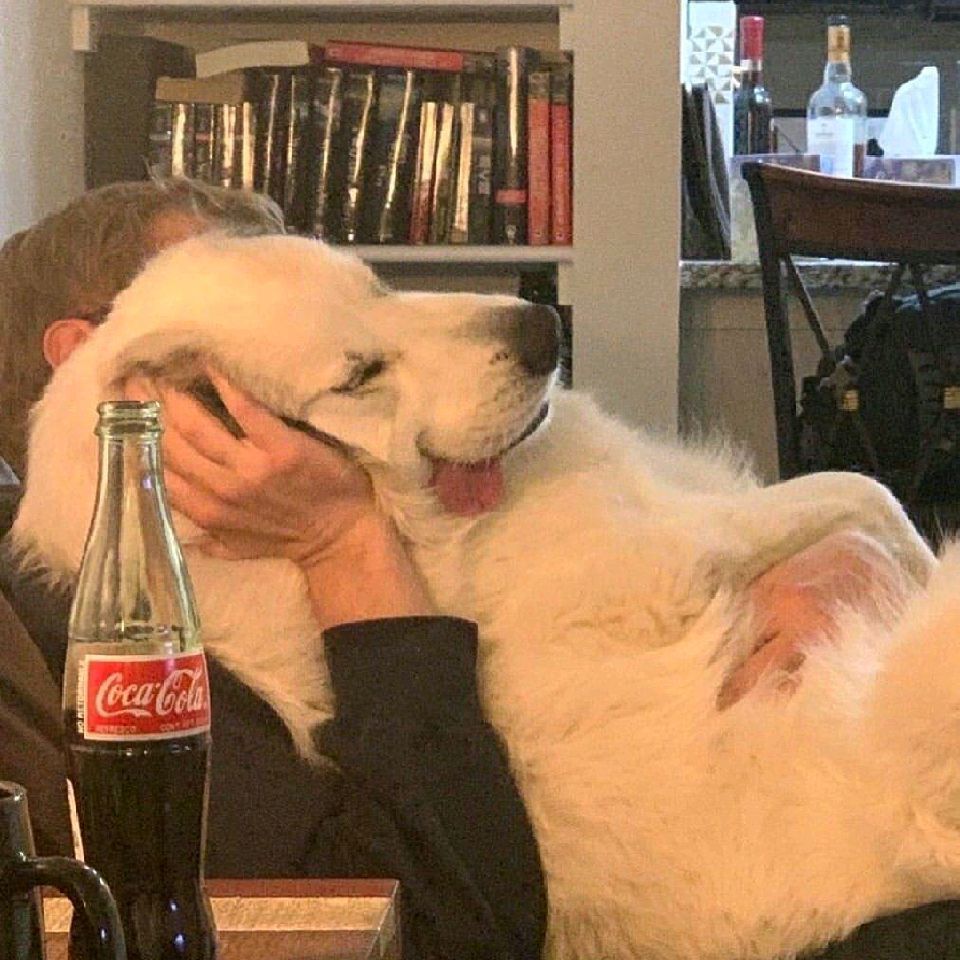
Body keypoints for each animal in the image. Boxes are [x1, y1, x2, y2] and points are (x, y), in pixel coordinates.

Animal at [15, 231, 960, 960]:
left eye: (380, 286)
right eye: (360, 375)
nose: (541, 328)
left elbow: (870, 504)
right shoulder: (683, 547)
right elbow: (873, 500)